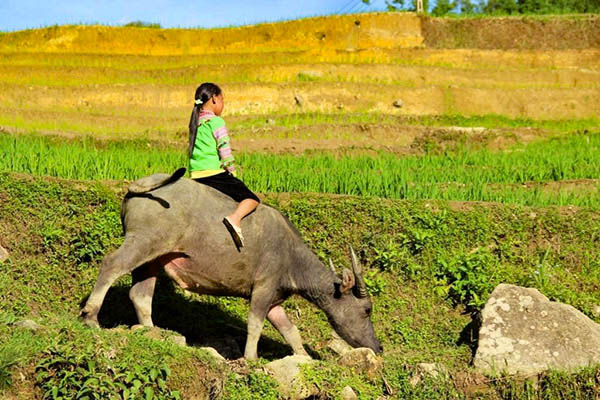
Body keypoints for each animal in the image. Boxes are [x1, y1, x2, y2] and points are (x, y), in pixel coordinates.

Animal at [79, 169, 382, 360]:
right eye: (367, 309)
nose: (377, 347)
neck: (291, 258)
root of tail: (139, 185)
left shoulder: (274, 300)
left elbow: (290, 331)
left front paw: (304, 357)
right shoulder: (262, 290)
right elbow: (255, 325)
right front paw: (251, 358)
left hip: (153, 257)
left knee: (140, 293)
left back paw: (152, 331)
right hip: (142, 242)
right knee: (111, 265)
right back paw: (91, 316)